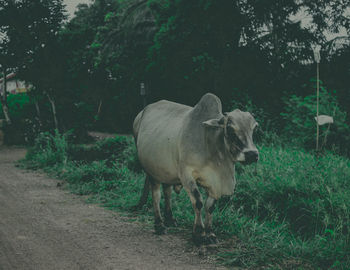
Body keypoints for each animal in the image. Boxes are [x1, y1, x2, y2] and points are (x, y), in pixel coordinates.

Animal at [133, 93, 258, 245]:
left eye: (254, 128)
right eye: (230, 129)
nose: (252, 154)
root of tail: (141, 113)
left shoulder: (215, 183)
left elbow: (210, 206)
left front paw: (210, 233)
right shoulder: (186, 174)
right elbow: (198, 202)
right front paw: (198, 233)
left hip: (166, 171)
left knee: (167, 192)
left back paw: (170, 219)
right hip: (153, 171)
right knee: (156, 195)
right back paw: (159, 225)